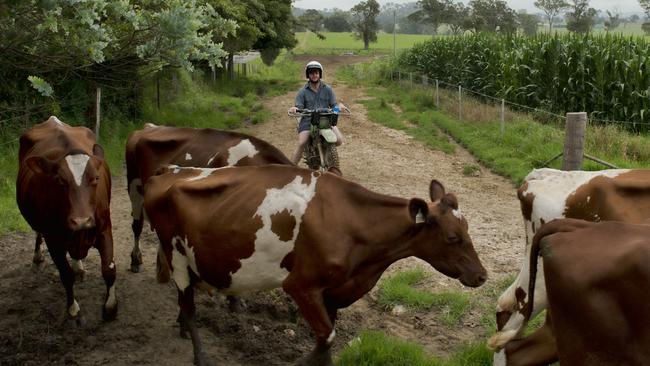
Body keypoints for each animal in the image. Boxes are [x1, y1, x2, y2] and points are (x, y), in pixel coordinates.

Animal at [16, 116, 116, 324]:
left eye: (96, 178)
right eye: (60, 180)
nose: (81, 220)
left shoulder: (104, 229)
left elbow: (109, 270)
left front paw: (110, 307)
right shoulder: (53, 240)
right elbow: (65, 274)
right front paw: (72, 308)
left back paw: (79, 267)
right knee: (38, 233)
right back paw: (38, 258)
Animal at [143, 164, 486, 364]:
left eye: (468, 229)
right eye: (453, 237)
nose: (481, 275)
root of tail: (166, 174)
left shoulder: (332, 292)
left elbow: (327, 341)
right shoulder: (301, 285)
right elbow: (326, 340)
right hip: (176, 256)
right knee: (189, 309)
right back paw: (200, 355)